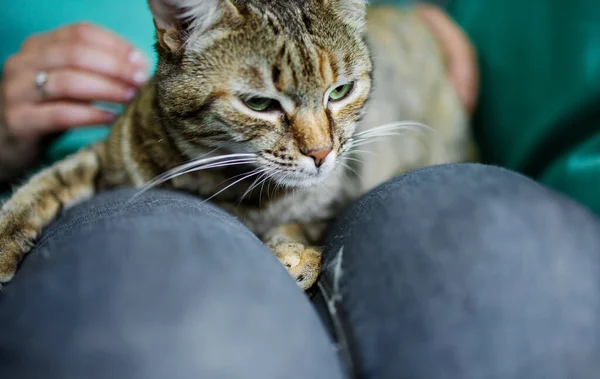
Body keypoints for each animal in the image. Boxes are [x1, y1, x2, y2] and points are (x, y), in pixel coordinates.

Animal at [0, 0, 476, 290]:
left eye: (340, 92)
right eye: (260, 104)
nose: (321, 154)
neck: (232, 183)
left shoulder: (340, 187)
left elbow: (303, 221)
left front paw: (294, 253)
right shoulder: (110, 155)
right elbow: (45, 181)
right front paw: (6, 237)